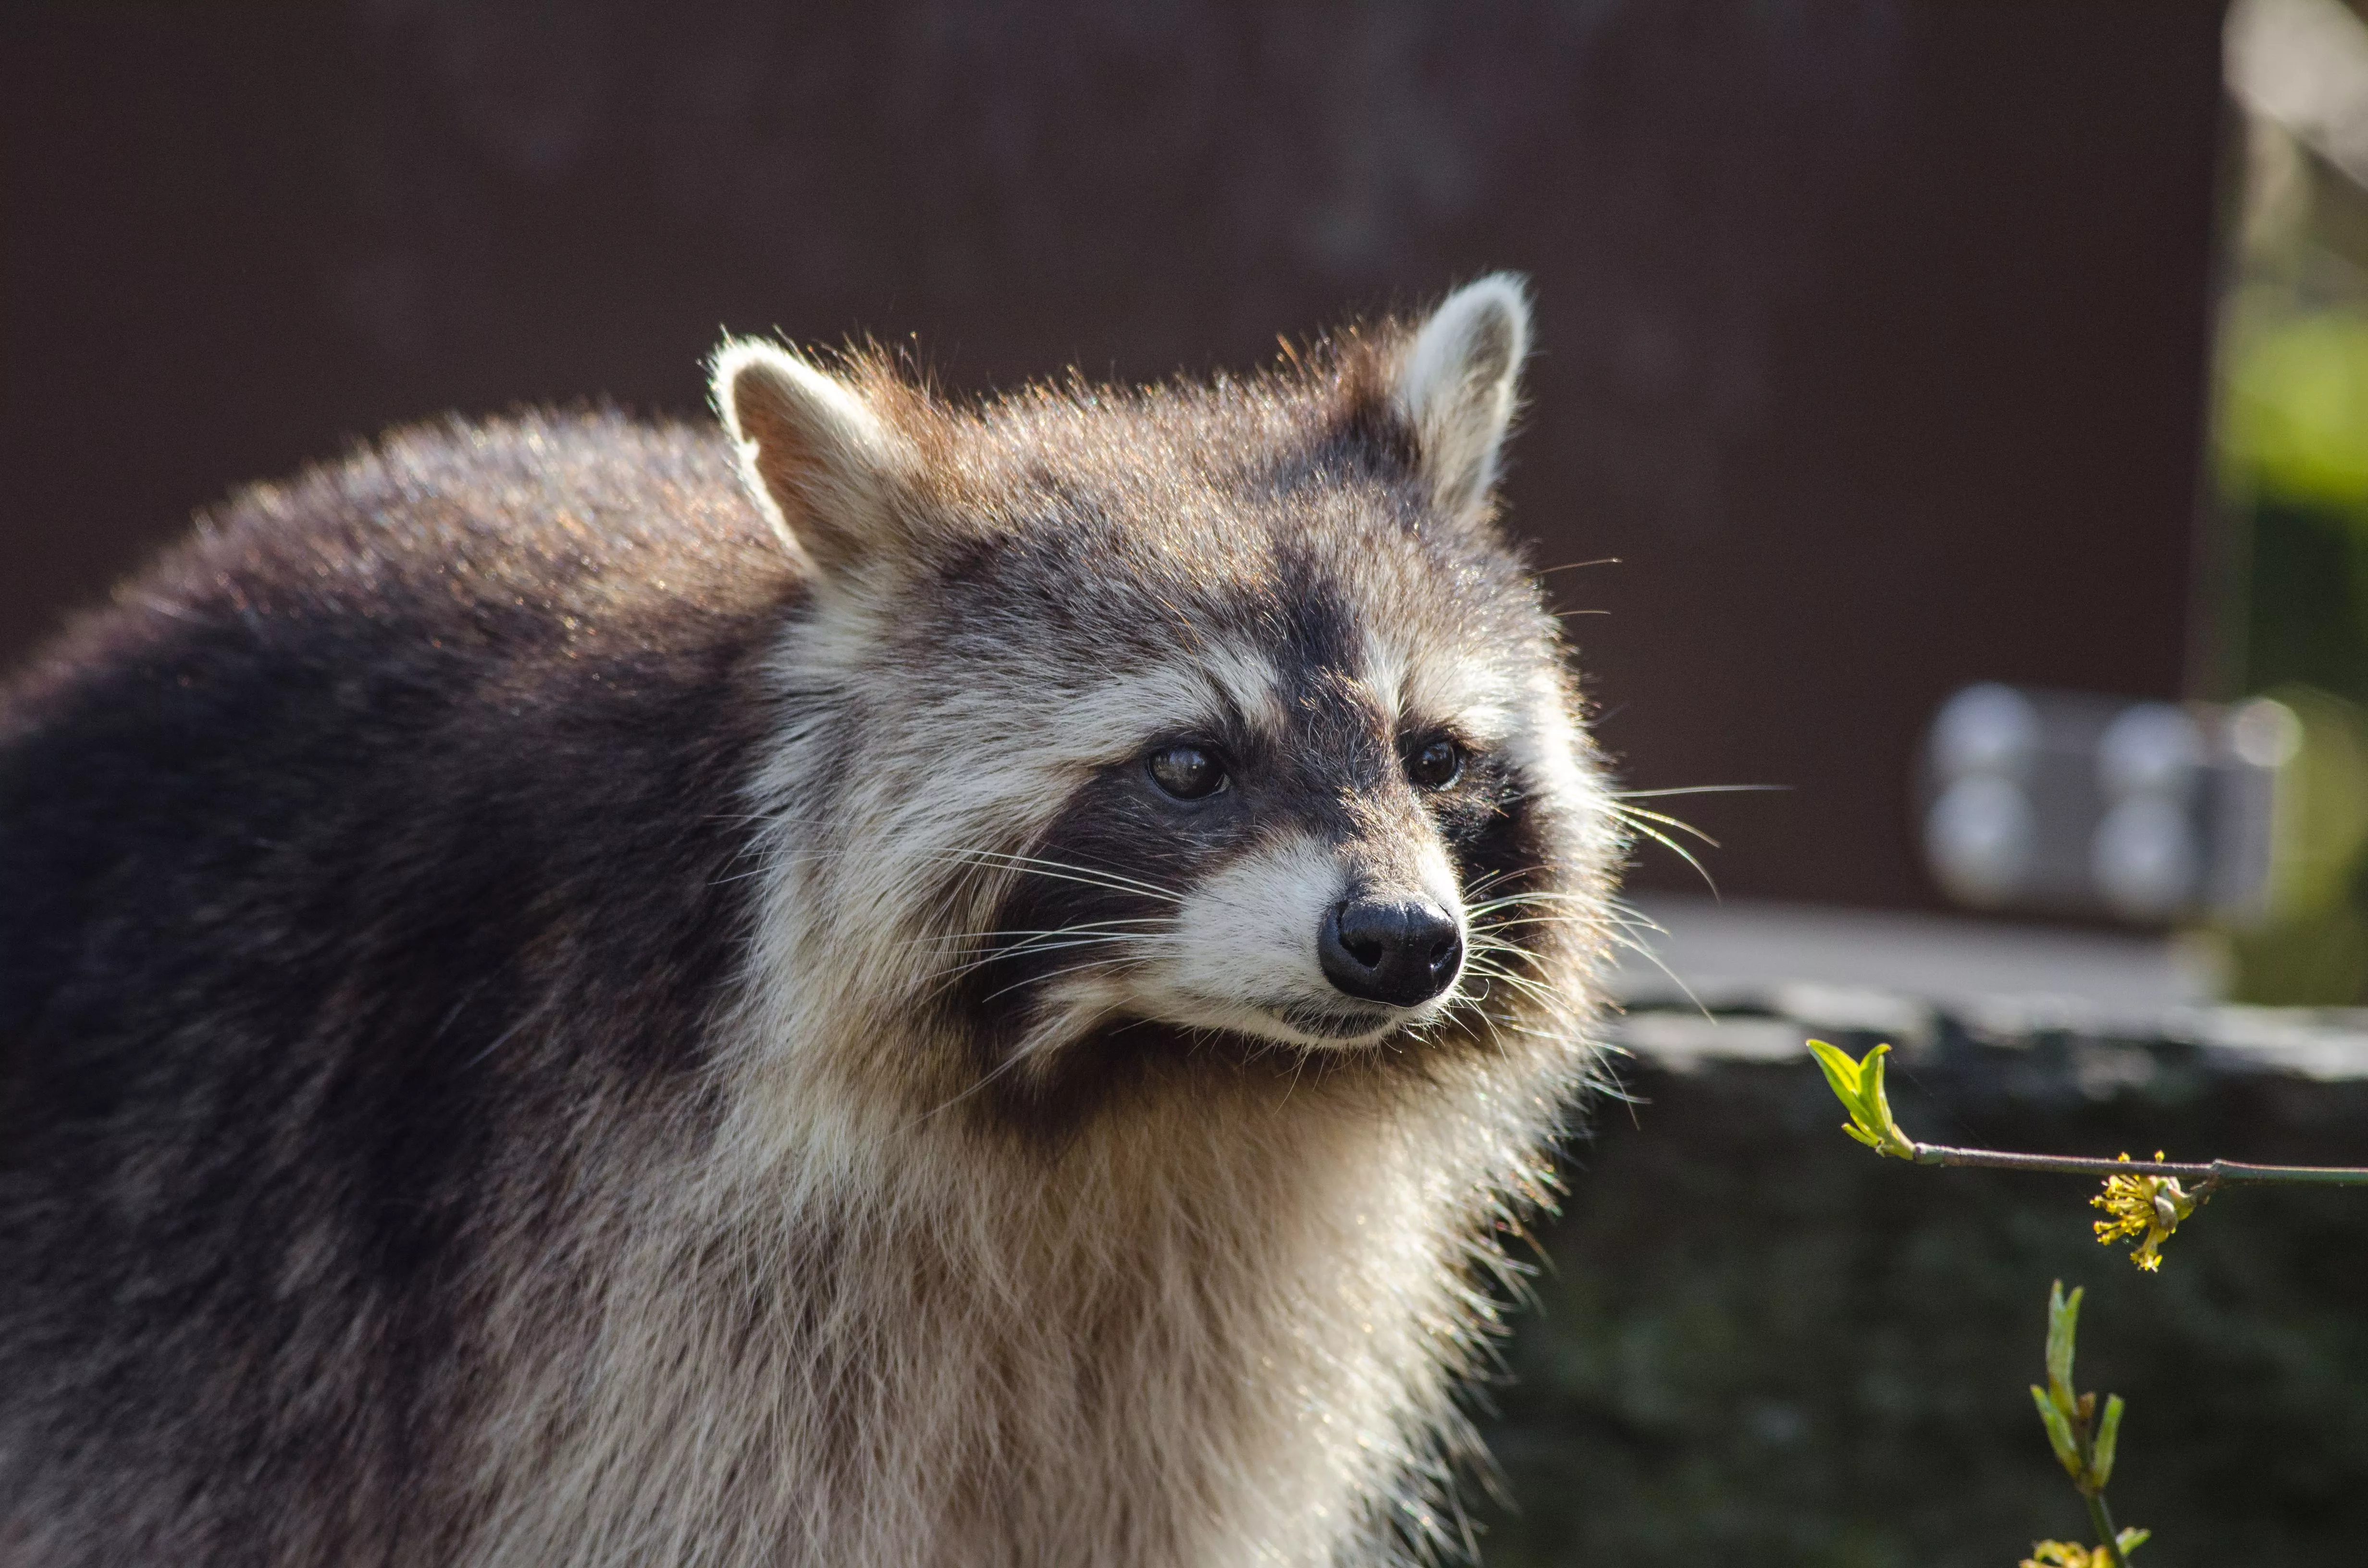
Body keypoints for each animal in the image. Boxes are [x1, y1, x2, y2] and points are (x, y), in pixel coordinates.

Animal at [0, 276, 1620, 1567]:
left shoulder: (1206, 1338)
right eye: (1187, 764)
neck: (1147, 1075)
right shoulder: (625, 1279)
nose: (1399, 942)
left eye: (1432, 755)